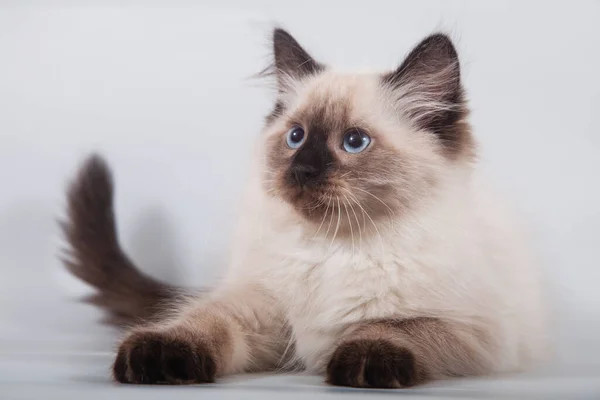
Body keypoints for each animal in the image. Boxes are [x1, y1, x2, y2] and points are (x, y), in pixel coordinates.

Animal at [62, 28, 548, 388]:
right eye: (296, 137)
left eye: (354, 142)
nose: (303, 170)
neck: (334, 248)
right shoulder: (260, 313)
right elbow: (203, 323)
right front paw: (156, 358)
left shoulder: (474, 332)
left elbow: (394, 327)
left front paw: (362, 365)